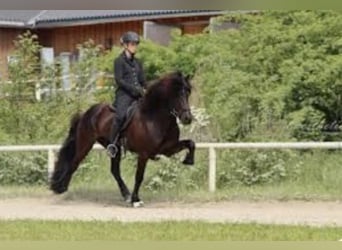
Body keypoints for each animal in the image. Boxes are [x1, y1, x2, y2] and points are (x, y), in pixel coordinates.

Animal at [49, 71, 196, 207]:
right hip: (85, 144)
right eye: (177, 94)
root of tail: (87, 112)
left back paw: (126, 195)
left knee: (114, 171)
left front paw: (188, 160)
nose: (187, 118)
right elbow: (139, 176)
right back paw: (61, 188)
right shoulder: (144, 154)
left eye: (188, 92)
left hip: (115, 148)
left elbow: (191, 143)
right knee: (74, 163)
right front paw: (136, 200)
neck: (154, 117)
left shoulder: (168, 149)